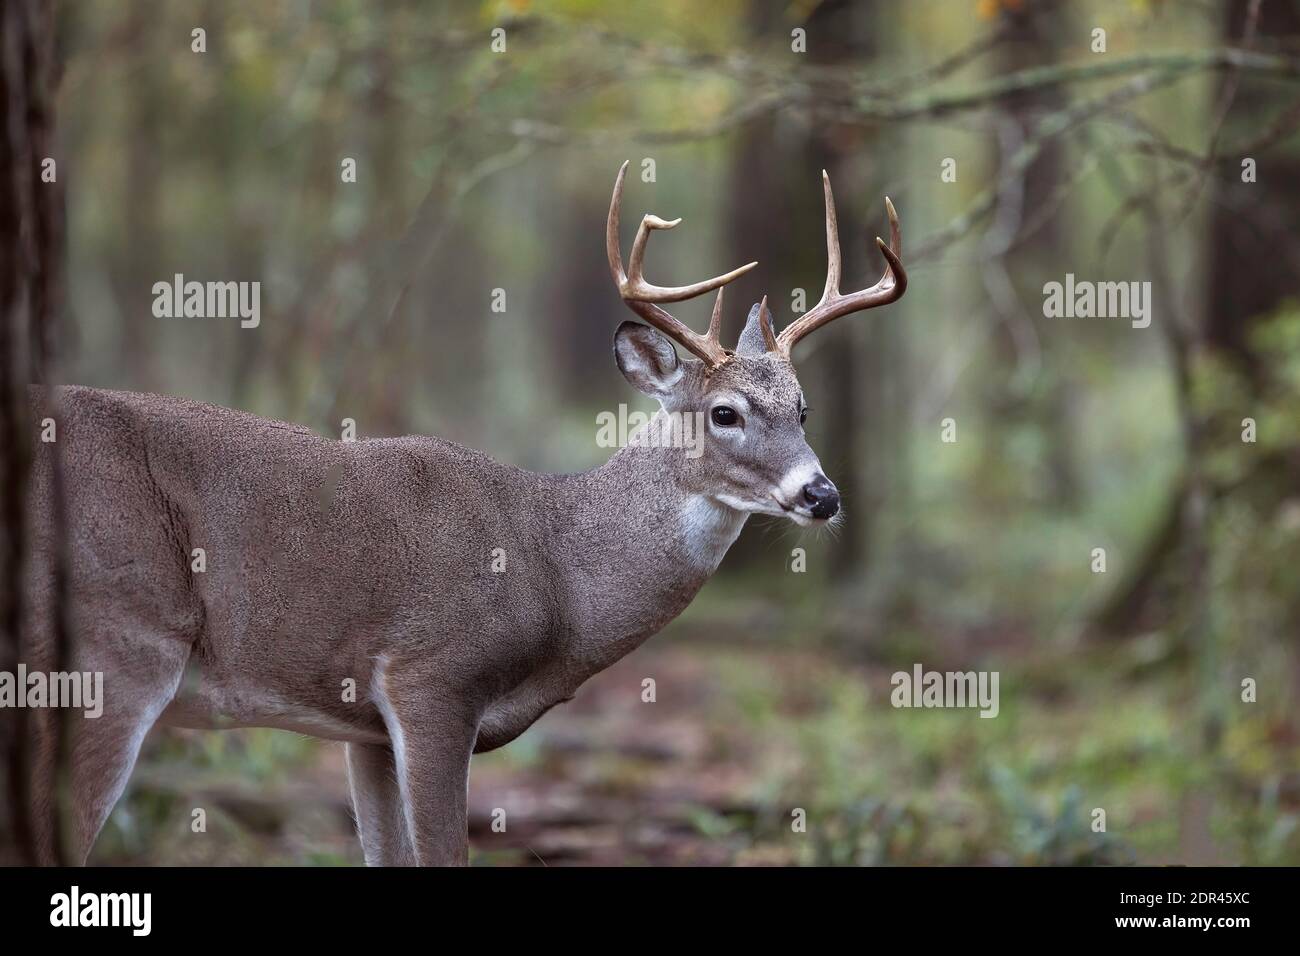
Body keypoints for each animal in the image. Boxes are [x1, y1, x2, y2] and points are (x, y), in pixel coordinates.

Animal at [18, 162, 905, 866]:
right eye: (725, 413)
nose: (822, 495)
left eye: (804, 408)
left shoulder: (363, 727)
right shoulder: (431, 674)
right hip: (114, 639)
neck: (555, 567)